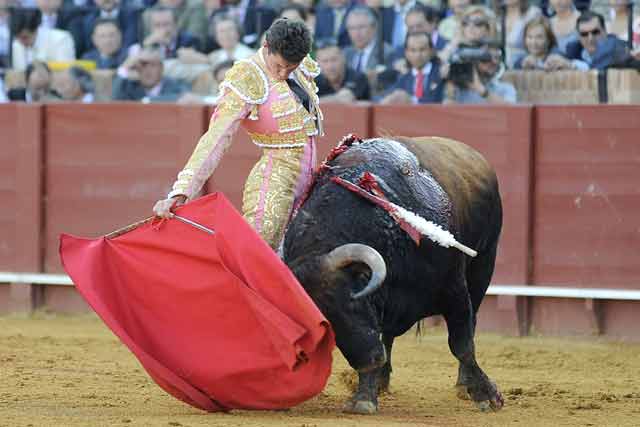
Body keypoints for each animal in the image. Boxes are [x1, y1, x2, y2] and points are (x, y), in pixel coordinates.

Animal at [284, 136, 504, 414]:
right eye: (325, 326)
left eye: (352, 303)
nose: (369, 360)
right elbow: (382, 337)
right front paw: (364, 396)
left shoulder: (454, 291)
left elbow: (462, 344)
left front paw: (486, 395)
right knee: (387, 337)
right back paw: (381, 379)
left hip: (484, 265)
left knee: (471, 323)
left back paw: (463, 385)